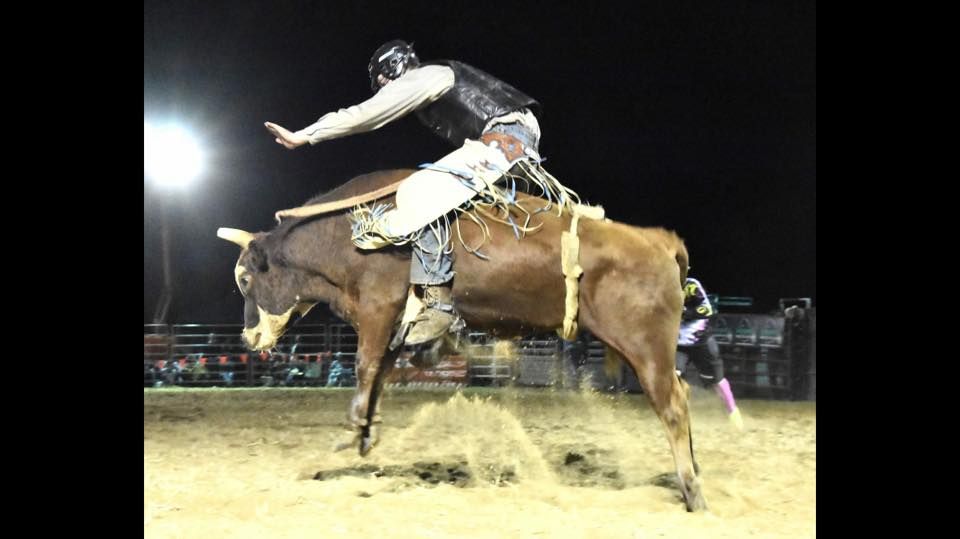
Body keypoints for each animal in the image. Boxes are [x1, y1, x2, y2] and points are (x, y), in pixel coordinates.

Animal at [221, 168, 708, 510]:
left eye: (245, 279)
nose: (248, 337)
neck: (343, 235)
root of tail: (659, 241)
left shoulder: (378, 306)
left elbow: (364, 365)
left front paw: (353, 430)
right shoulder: (396, 323)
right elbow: (378, 375)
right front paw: (364, 434)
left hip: (645, 346)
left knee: (672, 405)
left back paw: (692, 490)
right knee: (681, 396)